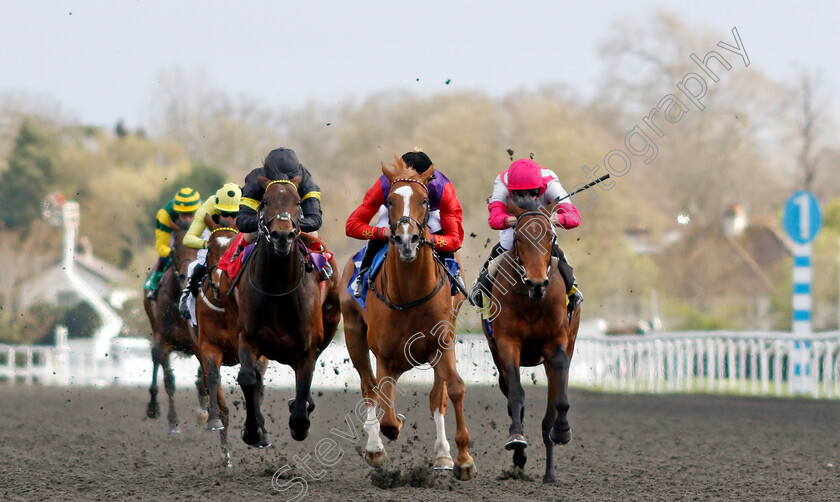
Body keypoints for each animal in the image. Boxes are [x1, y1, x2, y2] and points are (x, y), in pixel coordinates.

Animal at [141, 227, 207, 436]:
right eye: (175, 248)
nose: (187, 276)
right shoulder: (163, 339)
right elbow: (169, 381)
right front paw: (173, 422)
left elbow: (203, 378)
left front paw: (204, 411)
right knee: (155, 359)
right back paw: (153, 406)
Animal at [233, 174, 342, 448]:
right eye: (265, 201)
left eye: (297, 202)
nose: (282, 236)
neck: (278, 289)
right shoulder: (247, 338)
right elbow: (248, 378)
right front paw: (252, 431)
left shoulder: (306, 349)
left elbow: (303, 391)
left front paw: (299, 420)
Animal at [340, 155, 472, 480]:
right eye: (389, 200)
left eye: (425, 200)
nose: (406, 239)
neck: (411, 294)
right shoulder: (385, 355)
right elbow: (385, 409)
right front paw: (386, 435)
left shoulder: (443, 344)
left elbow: (453, 389)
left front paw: (462, 459)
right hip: (353, 334)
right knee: (370, 388)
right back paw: (374, 447)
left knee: (437, 396)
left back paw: (443, 455)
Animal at [482, 196, 580, 482]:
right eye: (518, 237)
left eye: (550, 236)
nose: (537, 283)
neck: (532, 301)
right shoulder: (507, 343)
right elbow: (516, 394)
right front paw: (516, 439)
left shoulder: (556, 343)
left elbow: (558, 397)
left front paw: (562, 429)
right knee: (510, 393)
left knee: (550, 410)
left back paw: (550, 472)